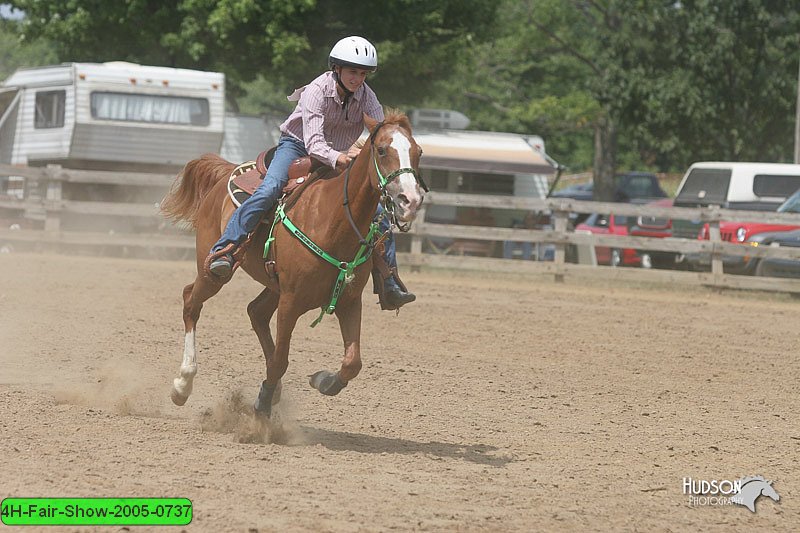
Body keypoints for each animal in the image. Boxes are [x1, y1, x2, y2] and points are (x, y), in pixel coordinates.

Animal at [159, 111, 428, 416]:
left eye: (418, 152)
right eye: (382, 150)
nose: (410, 201)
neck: (332, 220)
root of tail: (226, 172)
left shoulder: (349, 300)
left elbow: (352, 362)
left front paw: (322, 381)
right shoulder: (291, 302)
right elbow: (280, 360)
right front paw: (262, 406)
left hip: (274, 285)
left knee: (255, 312)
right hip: (213, 272)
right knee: (191, 301)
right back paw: (182, 385)